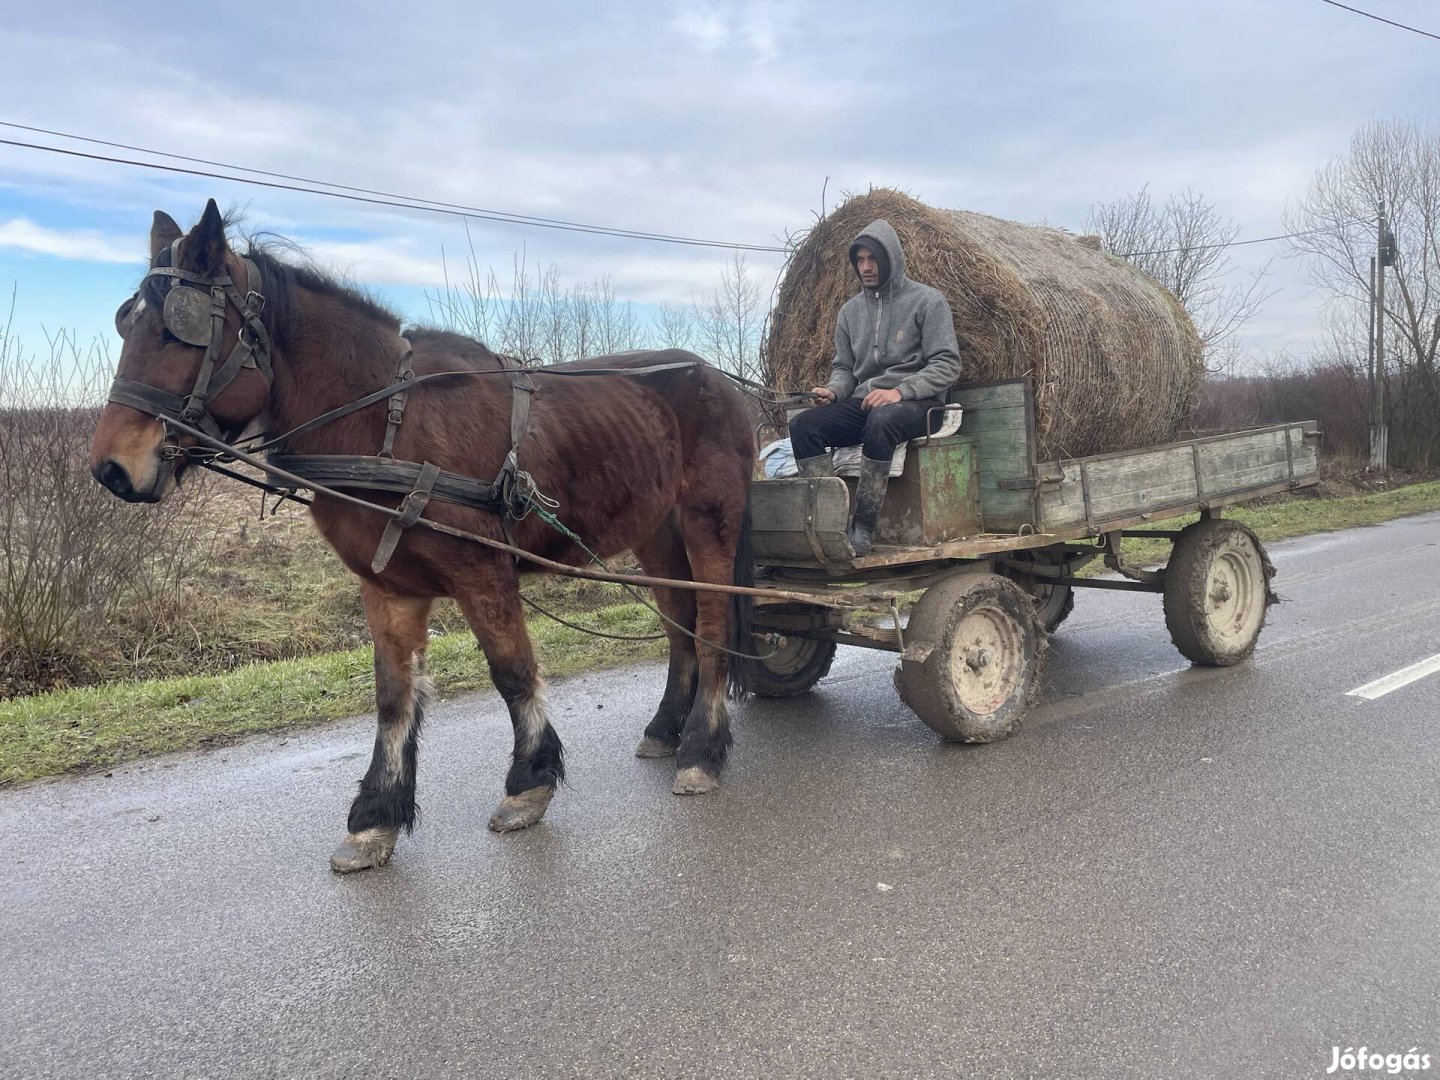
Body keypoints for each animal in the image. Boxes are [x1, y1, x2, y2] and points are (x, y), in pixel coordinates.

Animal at [91, 201, 760, 869]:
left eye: (177, 332)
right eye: (128, 324)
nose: (111, 469)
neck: (387, 426)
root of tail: (720, 379)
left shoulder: (483, 573)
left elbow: (513, 671)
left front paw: (530, 781)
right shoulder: (386, 586)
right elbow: (393, 697)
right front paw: (376, 815)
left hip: (708, 519)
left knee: (711, 624)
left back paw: (701, 749)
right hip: (656, 533)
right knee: (679, 621)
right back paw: (667, 729)